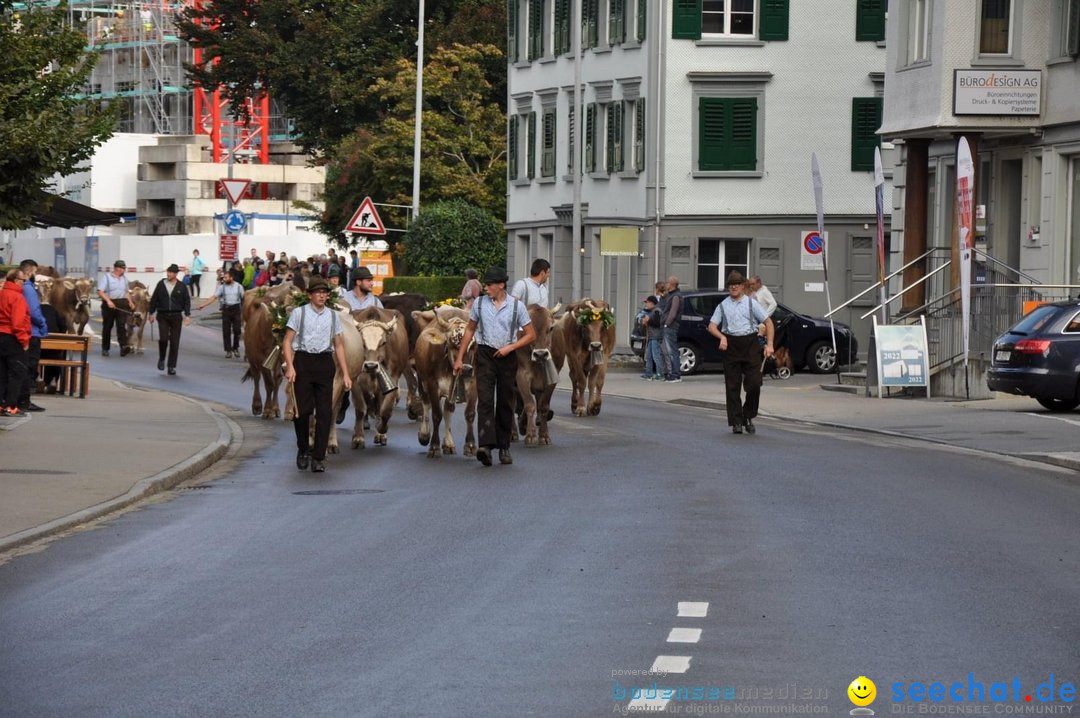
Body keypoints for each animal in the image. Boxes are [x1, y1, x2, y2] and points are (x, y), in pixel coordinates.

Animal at [347, 306, 410, 449]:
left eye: (384, 342)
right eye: (362, 342)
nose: (371, 366)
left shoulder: (393, 379)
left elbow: (385, 409)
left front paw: (381, 431)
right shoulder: (355, 381)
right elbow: (360, 408)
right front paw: (358, 437)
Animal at [412, 304, 477, 455]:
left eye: (473, 345)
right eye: (453, 343)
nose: (466, 369)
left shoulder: (473, 382)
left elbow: (470, 413)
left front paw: (470, 445)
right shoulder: (432, 384)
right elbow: (436, 414)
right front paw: (434, 446)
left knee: (449, 409)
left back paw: (448, 443)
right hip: (421, 381)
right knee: (426, 404)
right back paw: (424, 435)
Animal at [514, 302, 565, 442]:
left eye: (551, 328)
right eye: (527, 329)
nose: (541, 354)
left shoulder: (552, 379)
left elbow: (543, 406)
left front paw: (544, 435)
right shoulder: (522, 376)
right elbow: (529, 404)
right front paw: (530, 434)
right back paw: (514, 433)